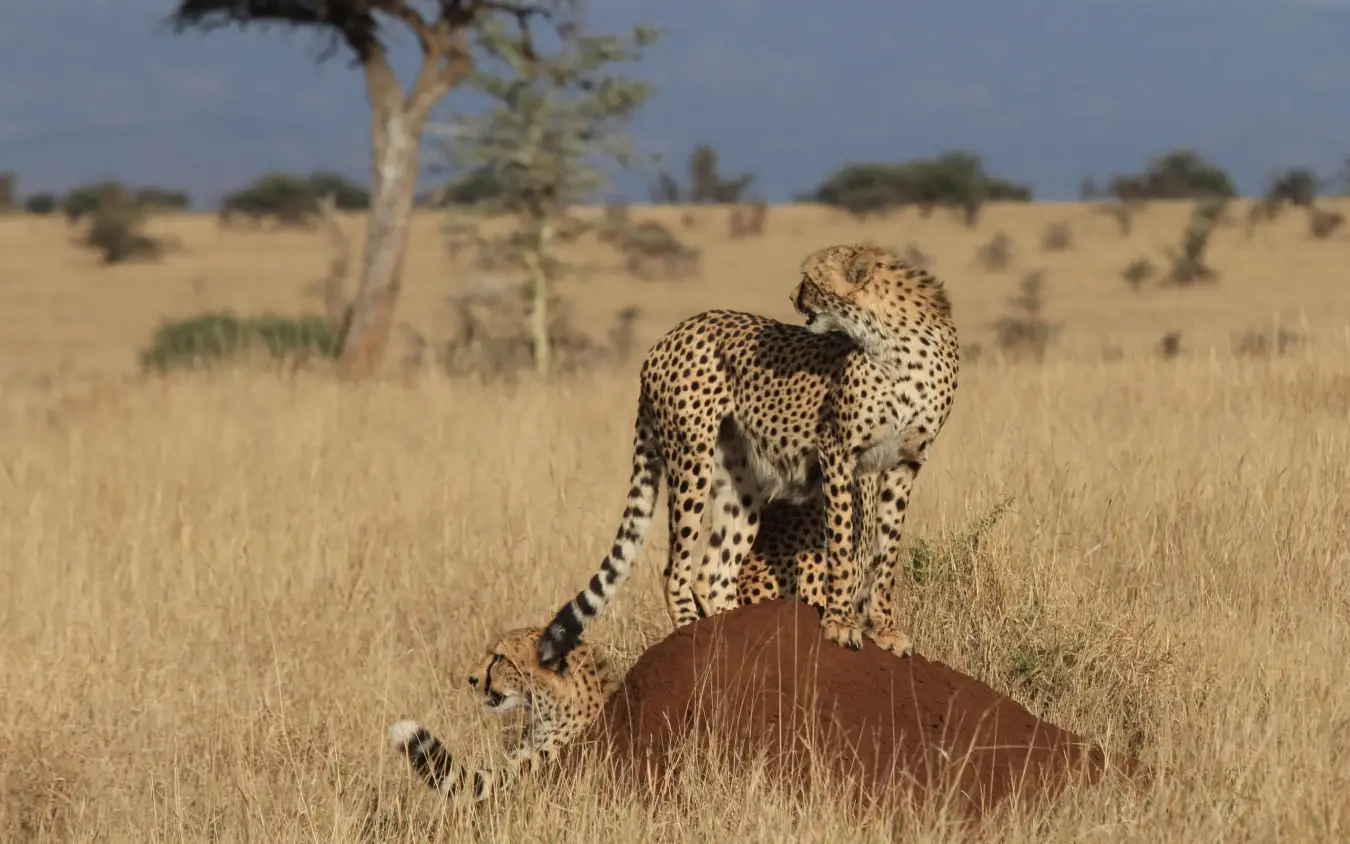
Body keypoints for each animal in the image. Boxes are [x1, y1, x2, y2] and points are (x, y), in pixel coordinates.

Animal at [536, 243, 960, 673]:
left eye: (809, 279)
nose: (791, 297)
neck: (893, 342)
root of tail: (668, 337)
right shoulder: (840, 452)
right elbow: (844, 543)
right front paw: (841, 623)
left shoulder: (903, 463)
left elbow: (887, 551)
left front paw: (886, 630)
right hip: (692, 458)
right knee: (676, 568)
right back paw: (690, 630)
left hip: (743, 482)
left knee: (714, 573)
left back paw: (735, 633)